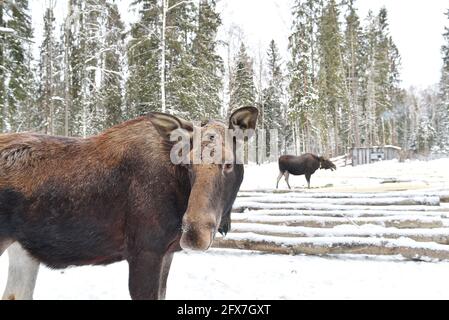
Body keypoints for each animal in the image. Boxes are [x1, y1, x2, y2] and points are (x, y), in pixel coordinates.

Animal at [0, 106, 260, 298]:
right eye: (187, 164)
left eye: (228, 163)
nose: (194, 233)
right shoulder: (145, 251)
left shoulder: (166, 253)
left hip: (22, 252)